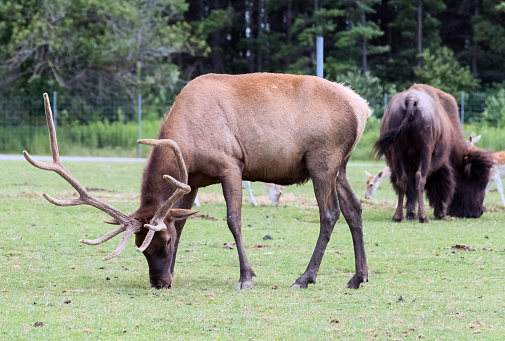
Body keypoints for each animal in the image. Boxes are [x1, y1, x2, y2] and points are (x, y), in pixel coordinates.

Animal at [24, 72, 370, 290]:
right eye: (141, 247)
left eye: (164, 242)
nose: (158, 283)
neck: (188, 142)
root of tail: (362, 107)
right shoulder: (193, 181)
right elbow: (184, 221)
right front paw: (175, 272)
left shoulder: (231, 164)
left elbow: (233, 220)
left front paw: (246, 277)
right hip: (341, 165)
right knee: (354, 208)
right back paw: (358, 277)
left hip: (322, 159)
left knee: (330, 213)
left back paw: (305, 278)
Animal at [374, 84, 492, 222]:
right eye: (479, 182)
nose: (479, 212)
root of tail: (411, 100)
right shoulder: (441, 164)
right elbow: (440, 187)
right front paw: (440, 214)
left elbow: (410, 189)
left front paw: (410, 214)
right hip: (425, 153)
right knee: (420, 178)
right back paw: (423, 217)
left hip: (398, 153)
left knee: (402, 180)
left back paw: (398, 216)